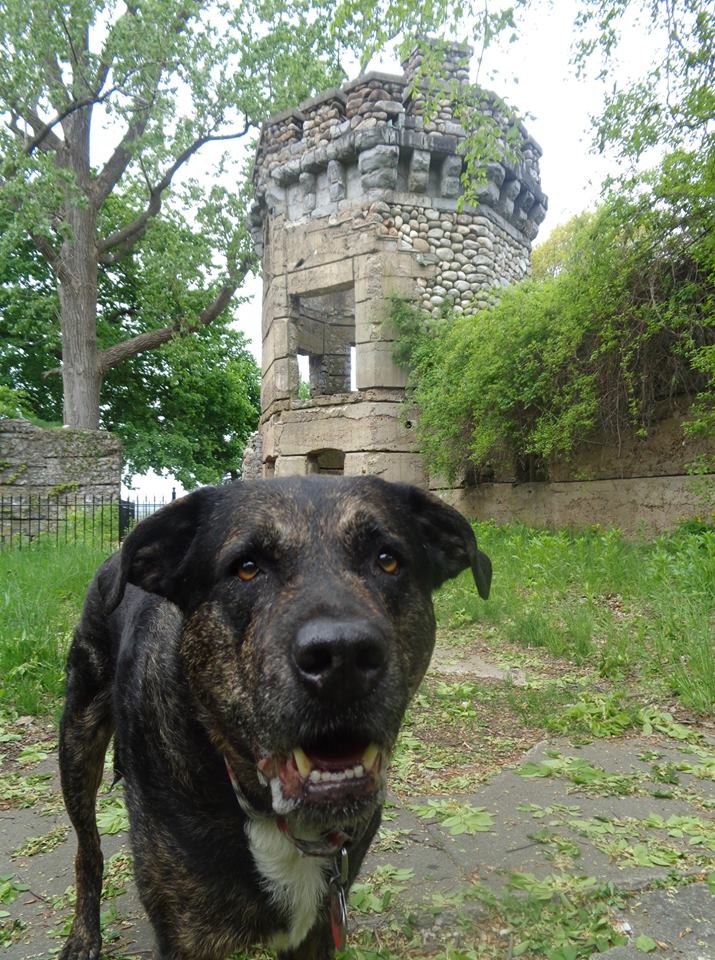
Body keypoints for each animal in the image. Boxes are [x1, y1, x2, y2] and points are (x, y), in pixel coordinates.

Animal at [58, 476, 491, 960]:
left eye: (388, 559)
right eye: (246, 568)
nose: (342, 657)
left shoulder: (319, 929)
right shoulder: (187, 937)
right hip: (78, 738)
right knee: (88, 849)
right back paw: (83, 935)